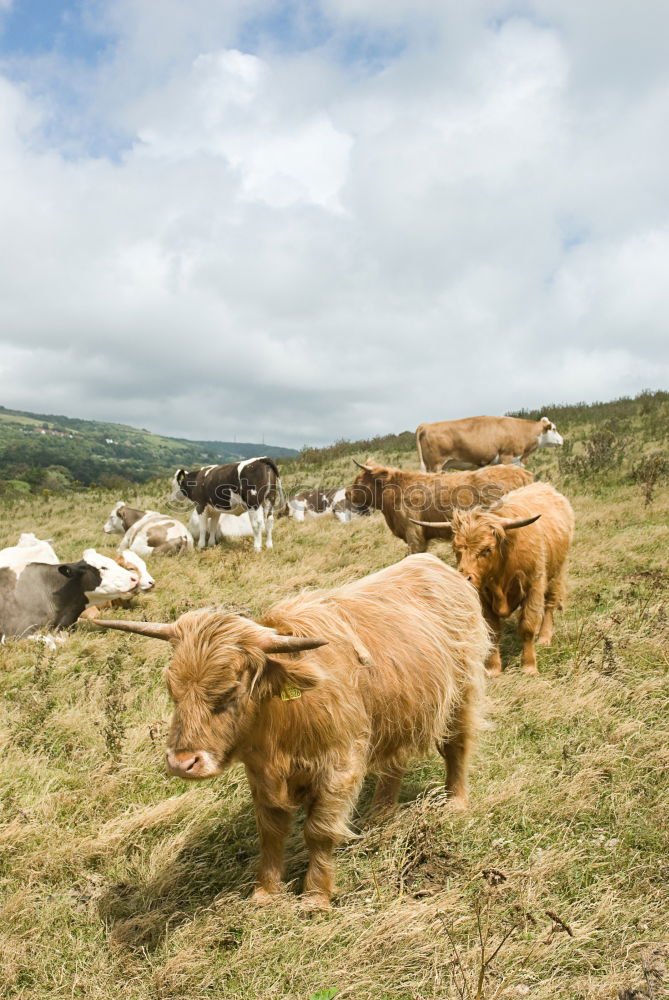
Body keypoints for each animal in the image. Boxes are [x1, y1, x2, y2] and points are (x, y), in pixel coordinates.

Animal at [86, 556, 488, 916]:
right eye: (172, 690)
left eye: (230, 692)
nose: (183, 763)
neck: (281, 728)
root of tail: (434, 563)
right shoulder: (262, 775)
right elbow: (270, 829)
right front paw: (265, 893)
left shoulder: (340, 765)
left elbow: (319, 831)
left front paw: (315, 898)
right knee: (394, 761)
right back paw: (380, 814)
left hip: (462, 694)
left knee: (457, 745)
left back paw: (455, 802)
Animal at [412, 480, 576, 676]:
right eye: (455, 548)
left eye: (487, 549)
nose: (464, 578)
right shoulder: (483, 597)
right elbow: (493, 632)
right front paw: (493, 669)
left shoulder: (533, 586)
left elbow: (527, 627)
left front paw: (529, 667)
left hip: (557, 572)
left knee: (550, 604)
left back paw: (544, 638)